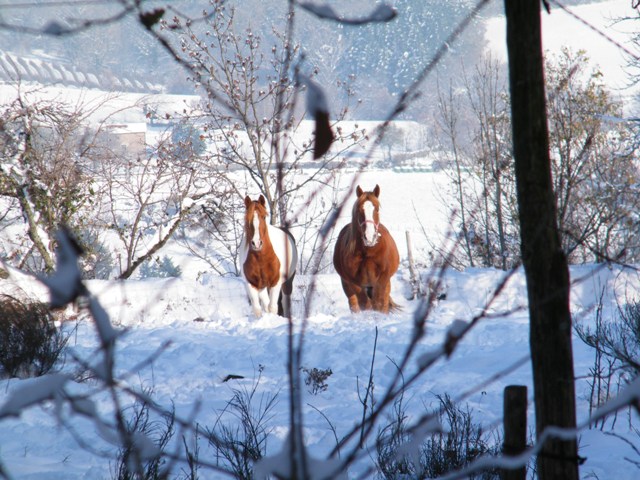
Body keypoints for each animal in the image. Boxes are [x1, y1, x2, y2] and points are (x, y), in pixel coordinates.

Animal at [332, 185, 398, 316]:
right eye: (359, 210)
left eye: (376, 209)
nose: (369, 237)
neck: (368, 252)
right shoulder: (354, 283)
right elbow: (365, 304)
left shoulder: (382, 280)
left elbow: (379, 304)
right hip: (348, 285)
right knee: (355, 304)